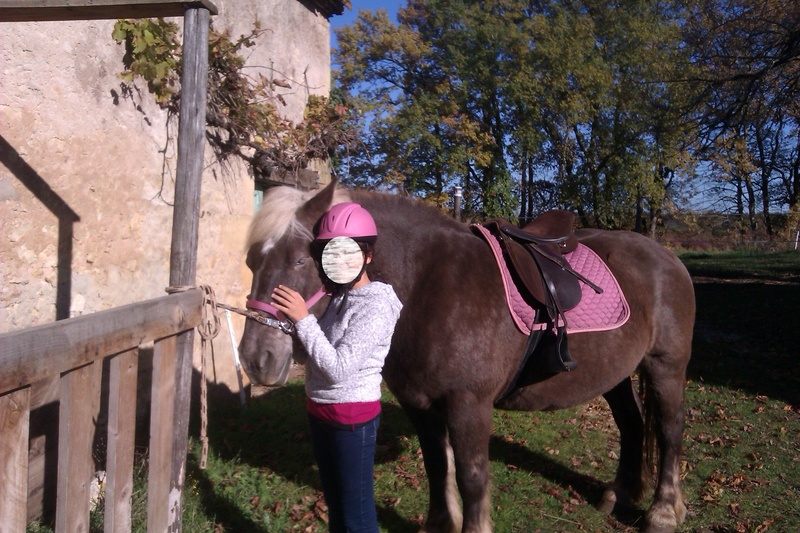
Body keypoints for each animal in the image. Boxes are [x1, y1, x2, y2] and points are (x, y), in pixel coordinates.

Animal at [239, 181, 692, 528]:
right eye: (251, 261)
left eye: (301, 259)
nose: (256, 359)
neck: (426, 286)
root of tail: (665, 255)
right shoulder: (420, 403)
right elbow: (437, 467)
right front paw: (441, 524)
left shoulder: (468, 404)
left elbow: (472, 478)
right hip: (615, 373)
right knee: (632, 423)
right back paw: (619, 493)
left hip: (666, 366)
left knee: (669, 430)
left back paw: (663, 513)